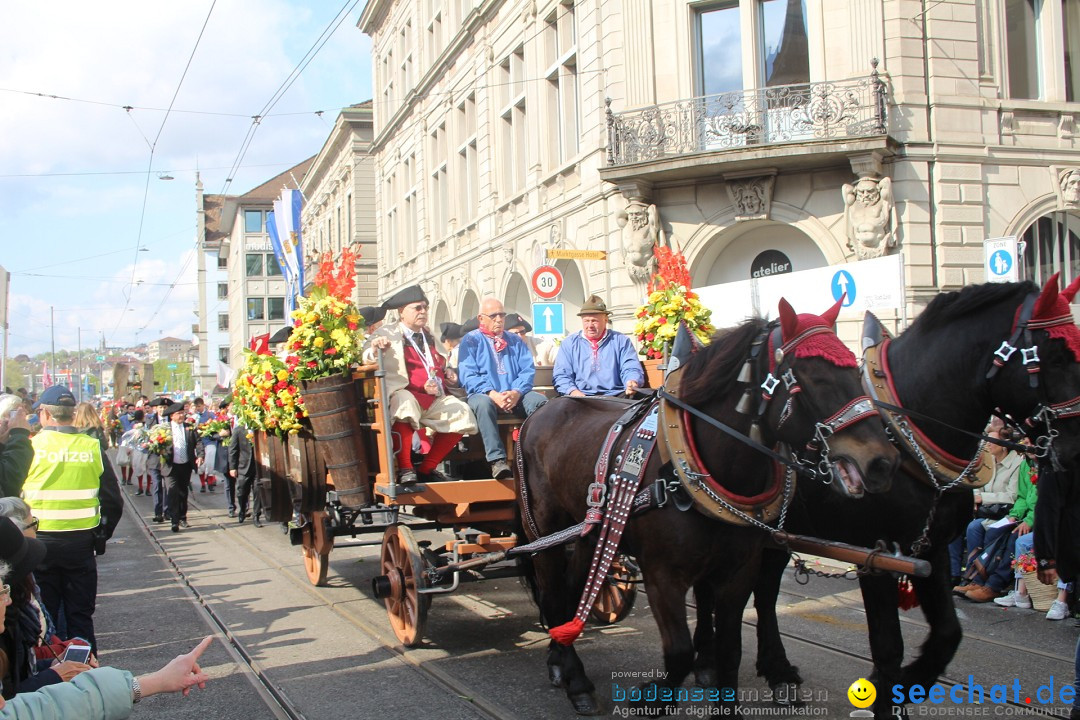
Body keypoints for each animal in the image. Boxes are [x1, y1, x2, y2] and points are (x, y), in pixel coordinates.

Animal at [518, 297, 898, 716]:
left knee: (573, 588)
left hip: (589, 532)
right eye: (813, 377)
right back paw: (575, 679)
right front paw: (653, 696)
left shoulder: (738, 573)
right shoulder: (662, 576)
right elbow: (679, 653)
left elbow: (730, 650)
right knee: (553, 593)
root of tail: (539, 412)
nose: (882, 462)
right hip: (545, 530)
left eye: (854, 369)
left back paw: (560, 657)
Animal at [699, 278, 1080, 720]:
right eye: (1056, 356)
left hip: (771, 533)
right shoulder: (875, 555)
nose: (1075, 449)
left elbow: (948, 633)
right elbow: (887, 646)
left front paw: (908, 683)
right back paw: (708, 661)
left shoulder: (931, 549)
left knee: (764, 593)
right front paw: (885, 692)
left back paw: (777, 671)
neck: (907, 430)